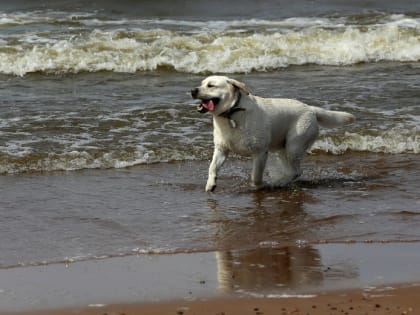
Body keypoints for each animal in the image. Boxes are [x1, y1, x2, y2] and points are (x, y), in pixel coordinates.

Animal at [191, 76, 354, 193]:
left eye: (210, 85)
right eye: (201, 83)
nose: (192, 90)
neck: (231, 114)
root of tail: (310, 109)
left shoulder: (260, 152)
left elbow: (256, 176)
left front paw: (260, 186)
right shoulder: (221, 149)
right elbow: (212, 167)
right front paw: (210, 184)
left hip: (294, 146)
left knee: (297, 171)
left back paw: (279, 182)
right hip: (283, 149)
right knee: (292, 170)